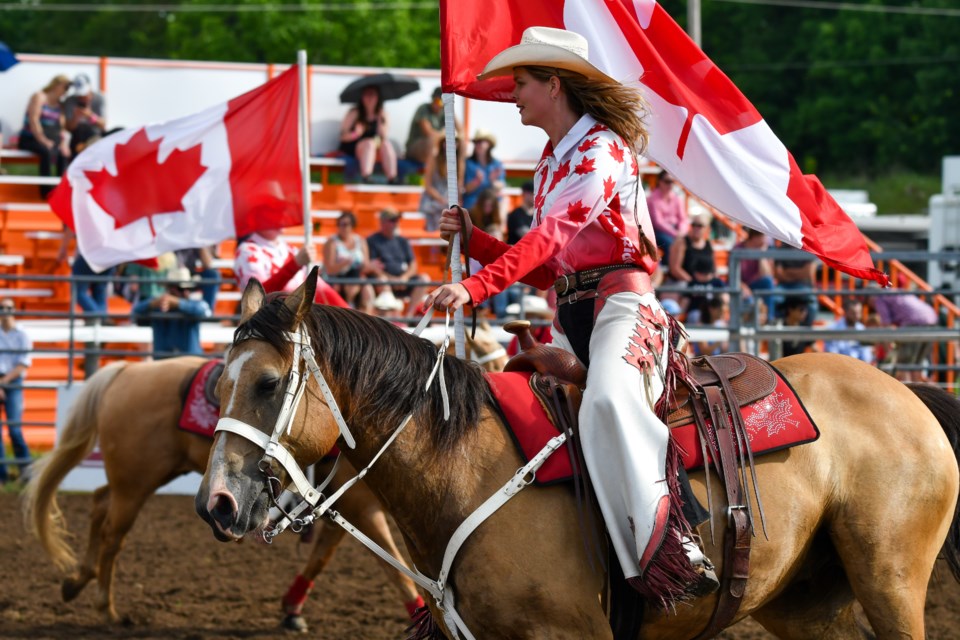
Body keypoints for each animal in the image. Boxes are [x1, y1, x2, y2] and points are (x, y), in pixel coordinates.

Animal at [20, 328, 510, 628]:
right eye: (486, 353)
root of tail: (127, 370)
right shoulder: (360, 504)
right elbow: (389, 565)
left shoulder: (344, 503)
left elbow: (323, 557)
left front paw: (292, 608)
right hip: (136, 481)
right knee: (112, 532)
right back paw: (106, 606)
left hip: (136, 476)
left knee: (99, 505)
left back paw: (76, 580)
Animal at [195, 270, 960, 640]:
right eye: (218, 383)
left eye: (267, 383)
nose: (216, 504)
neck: (468, 468)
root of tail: (908, 392)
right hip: (806, 603)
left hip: (890, 581)